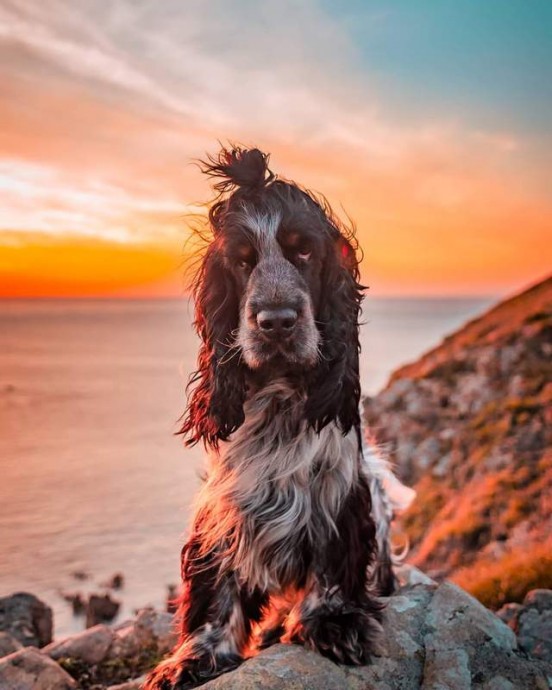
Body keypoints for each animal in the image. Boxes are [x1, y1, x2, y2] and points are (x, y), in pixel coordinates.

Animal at [144, 148, 412, 684]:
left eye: (303, 252)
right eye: (243, 262)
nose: (276, 322)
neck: (281, 394)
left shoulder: (339, 489)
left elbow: (332, 560)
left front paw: (331, 622)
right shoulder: (228, 504)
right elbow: (219, 580)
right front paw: (197, 654)